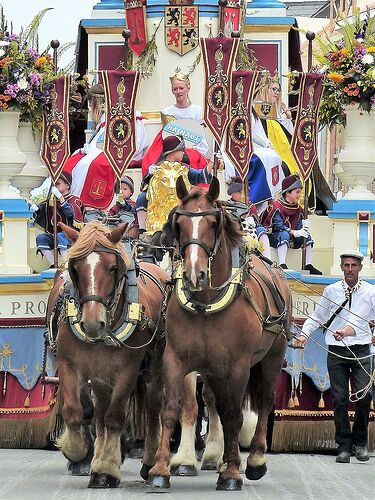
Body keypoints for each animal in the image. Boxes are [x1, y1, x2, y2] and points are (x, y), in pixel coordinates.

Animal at [47, 222, 170, 488]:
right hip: (101, 374)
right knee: (100, 412)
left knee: (153, 408)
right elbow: (74, 412)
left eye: (112, 268)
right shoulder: (69, 364)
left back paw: (149, 462)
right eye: (75, 268)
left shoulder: (128, 370)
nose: (93, 323)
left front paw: (106, 469)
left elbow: (115, 417)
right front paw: (78, 452)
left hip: (154, 368)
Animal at [148, 178, 294, 490]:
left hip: (272, 356)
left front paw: (232, 473)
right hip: (213, 369)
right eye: (179, 224)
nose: (195, 274)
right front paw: (161, 469)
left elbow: (234, 415)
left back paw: (253, 460)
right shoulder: (176, 359)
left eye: (213, 223)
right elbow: (172, 409)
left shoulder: (238, 365)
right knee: (217, 403)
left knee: (263, 401)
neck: (206, 303)